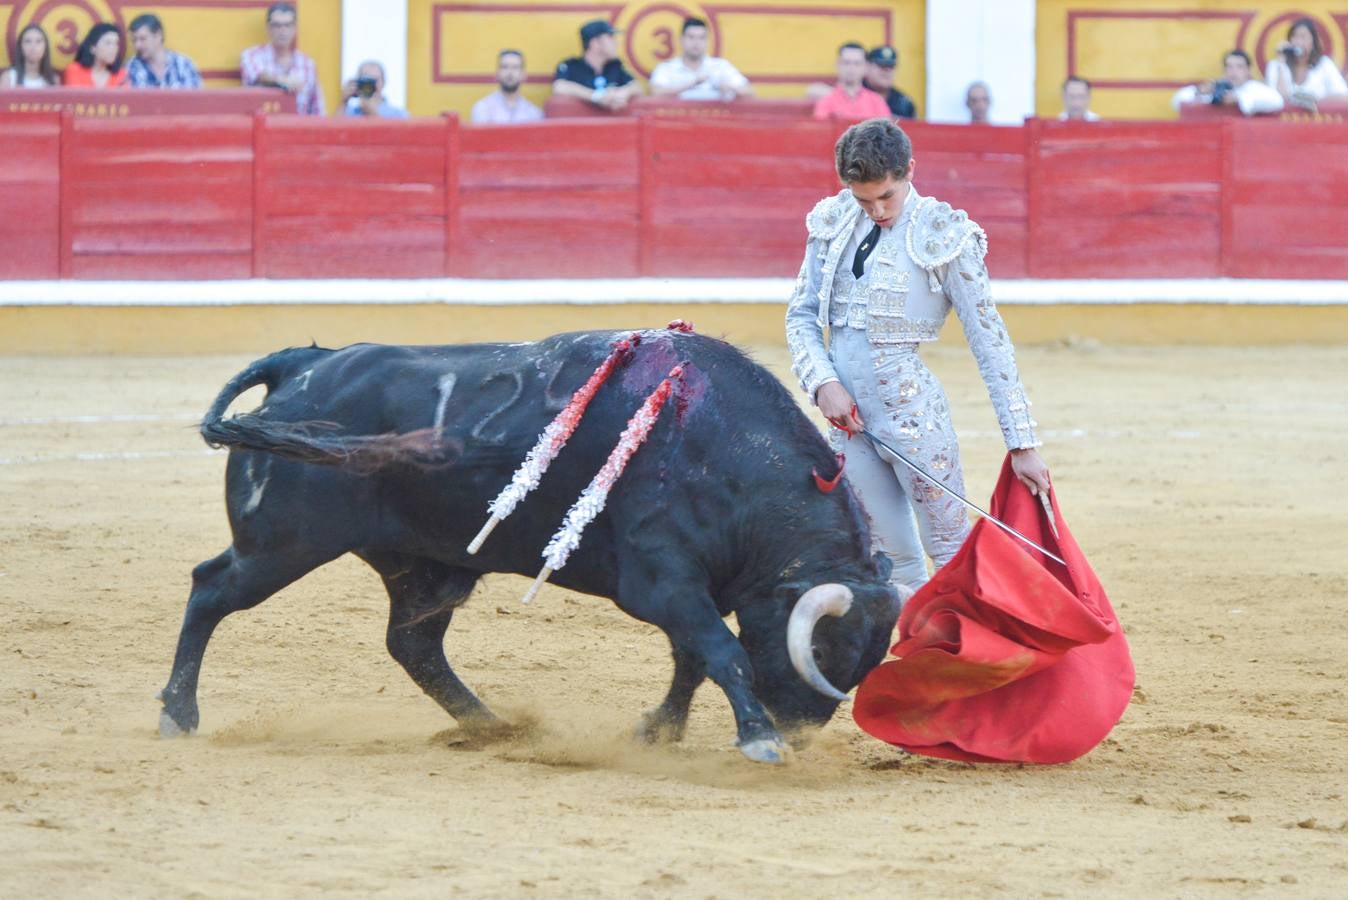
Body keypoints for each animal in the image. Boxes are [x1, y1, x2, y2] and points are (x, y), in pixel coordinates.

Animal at [160, 327, 895, 765]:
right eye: (822, 650)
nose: (801, 733)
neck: (722, 449)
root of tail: (304, 364)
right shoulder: (663, 581)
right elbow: (723, 652)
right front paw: (760, 741)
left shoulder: (692, 590)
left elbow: (694, 658)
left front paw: (658, 731)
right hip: (282, 544)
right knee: (210, 589)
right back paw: (178, 715)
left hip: (427, 567)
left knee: (413, 645)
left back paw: (495, 727)